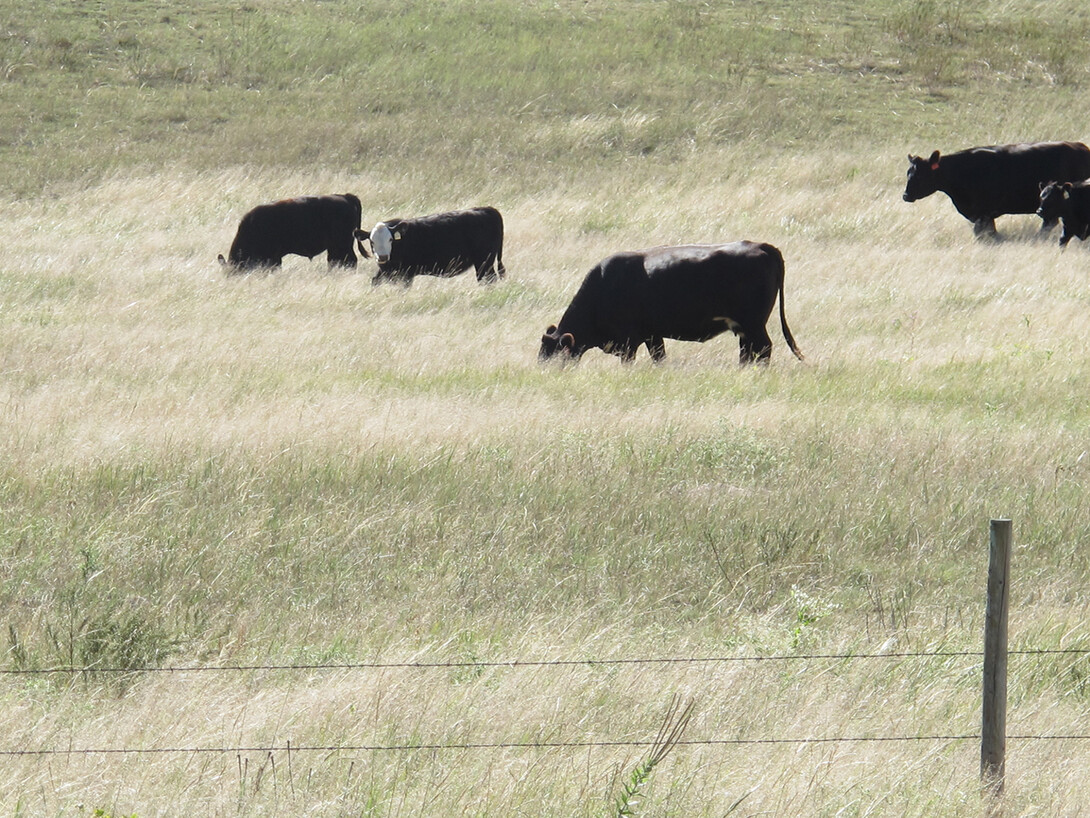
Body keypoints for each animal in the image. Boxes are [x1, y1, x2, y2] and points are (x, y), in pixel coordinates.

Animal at [357, 206, 510, 285]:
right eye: (372, 241)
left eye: (390, 239)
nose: (382, 256)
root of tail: (487, 209)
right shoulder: (385, 271)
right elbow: (375, 281)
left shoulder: (406, 274)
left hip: (484, 262)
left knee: (488, 279)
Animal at [540, 242, 806, 366]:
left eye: (553, 358)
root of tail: (761, 246)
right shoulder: (652, 335)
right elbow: (659, 358)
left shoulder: (628, 342)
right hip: (743, 328)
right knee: (748, 351)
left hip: (753, 324)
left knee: (762, 349)